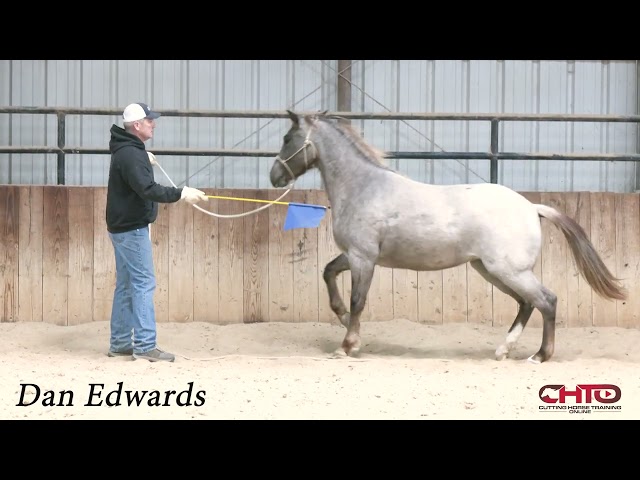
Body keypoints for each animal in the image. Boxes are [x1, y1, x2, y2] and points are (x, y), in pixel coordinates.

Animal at [268, 109, 628, 364]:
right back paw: (504, 350)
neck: (364, 188)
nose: (274, 177)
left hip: (507, 270)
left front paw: (347, 345)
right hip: (490, 269)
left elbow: (358, 299)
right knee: (527, 303)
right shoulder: (354, 256)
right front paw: (343, 319)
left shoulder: (363, 258)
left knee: (546, 301)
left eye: (287, 137)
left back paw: (539, 356)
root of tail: (531, 207)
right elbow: (329, 273)